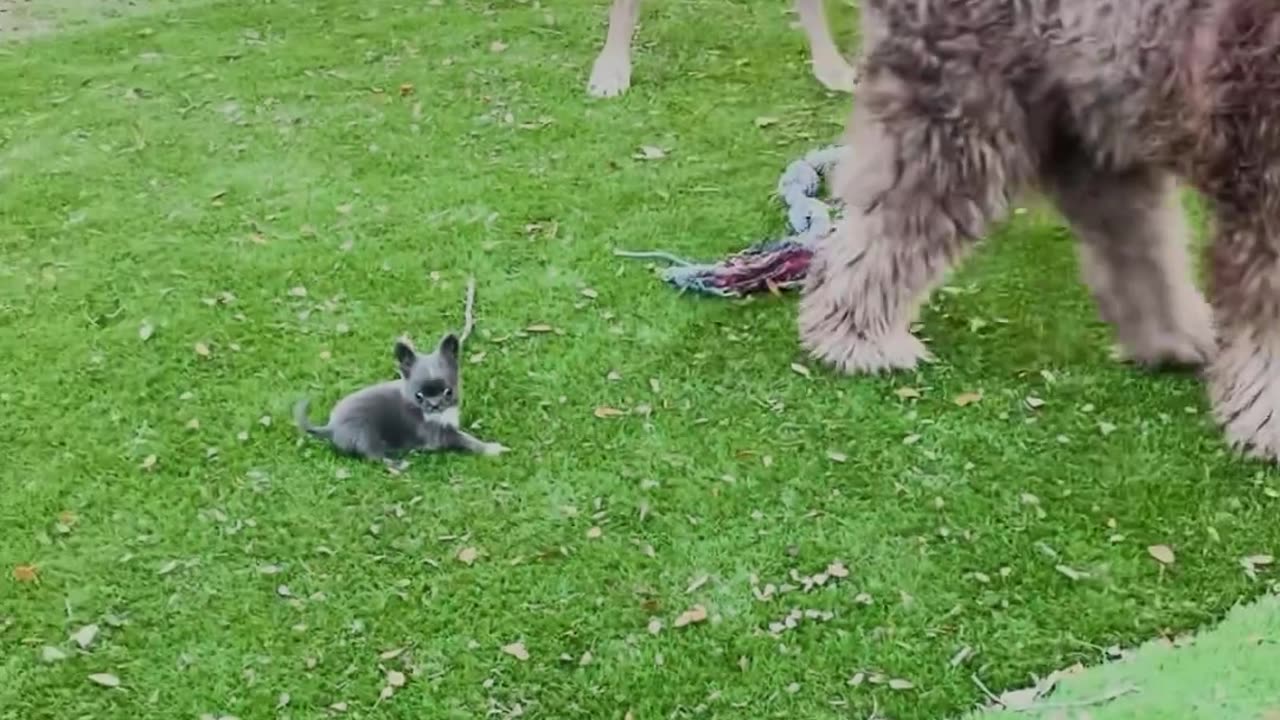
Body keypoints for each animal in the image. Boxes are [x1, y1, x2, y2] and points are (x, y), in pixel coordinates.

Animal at [293, 333, 506, 461]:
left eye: (449, 392)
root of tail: (331, 427)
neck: (438, 415)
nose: (434, 405)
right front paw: (491, 448)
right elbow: (466, 440)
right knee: (374, 457)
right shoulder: (439, 435)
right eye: (418, 396)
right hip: (366, 435)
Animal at [798, 0, 1280, 458]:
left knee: (1131, 239)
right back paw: (855, 338)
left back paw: (1172, 341)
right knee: (890, 224)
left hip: (1089, 114)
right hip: (958, 112)